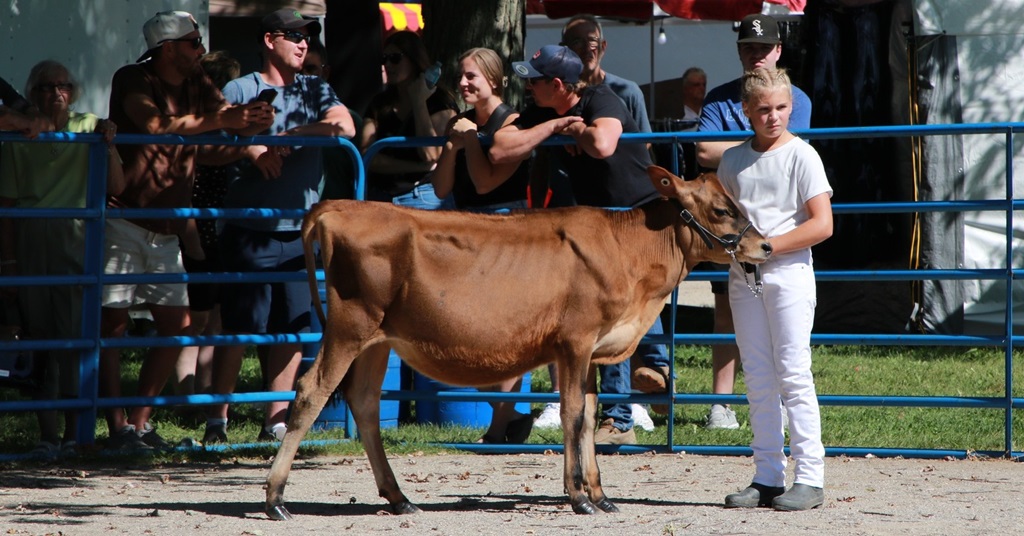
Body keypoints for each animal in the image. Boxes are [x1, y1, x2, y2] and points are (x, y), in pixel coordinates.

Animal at [264, 165, 772, 520]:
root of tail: (341, 207)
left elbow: (589, 418)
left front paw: (601, 495)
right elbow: (571, 416)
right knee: (311, 393)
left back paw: (399, 498)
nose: (765, 246)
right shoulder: (574, 341)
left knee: (365, 401)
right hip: (350, 325)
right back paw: (275, 499)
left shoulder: (592, 349)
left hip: (378, 340)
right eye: (722, 209)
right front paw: (578, 497)